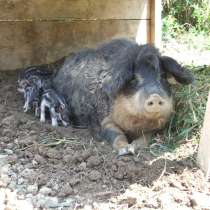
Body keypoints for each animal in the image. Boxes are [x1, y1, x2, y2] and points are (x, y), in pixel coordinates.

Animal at [52, 38, 194, 156]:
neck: (135, 124)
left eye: (163, 77)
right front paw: (126, 150)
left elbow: (146, 137)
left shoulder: (155, 128)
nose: (155, 96)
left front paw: (134, 147)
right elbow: (116, 134)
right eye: (133, 79)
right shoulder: (104, 119)